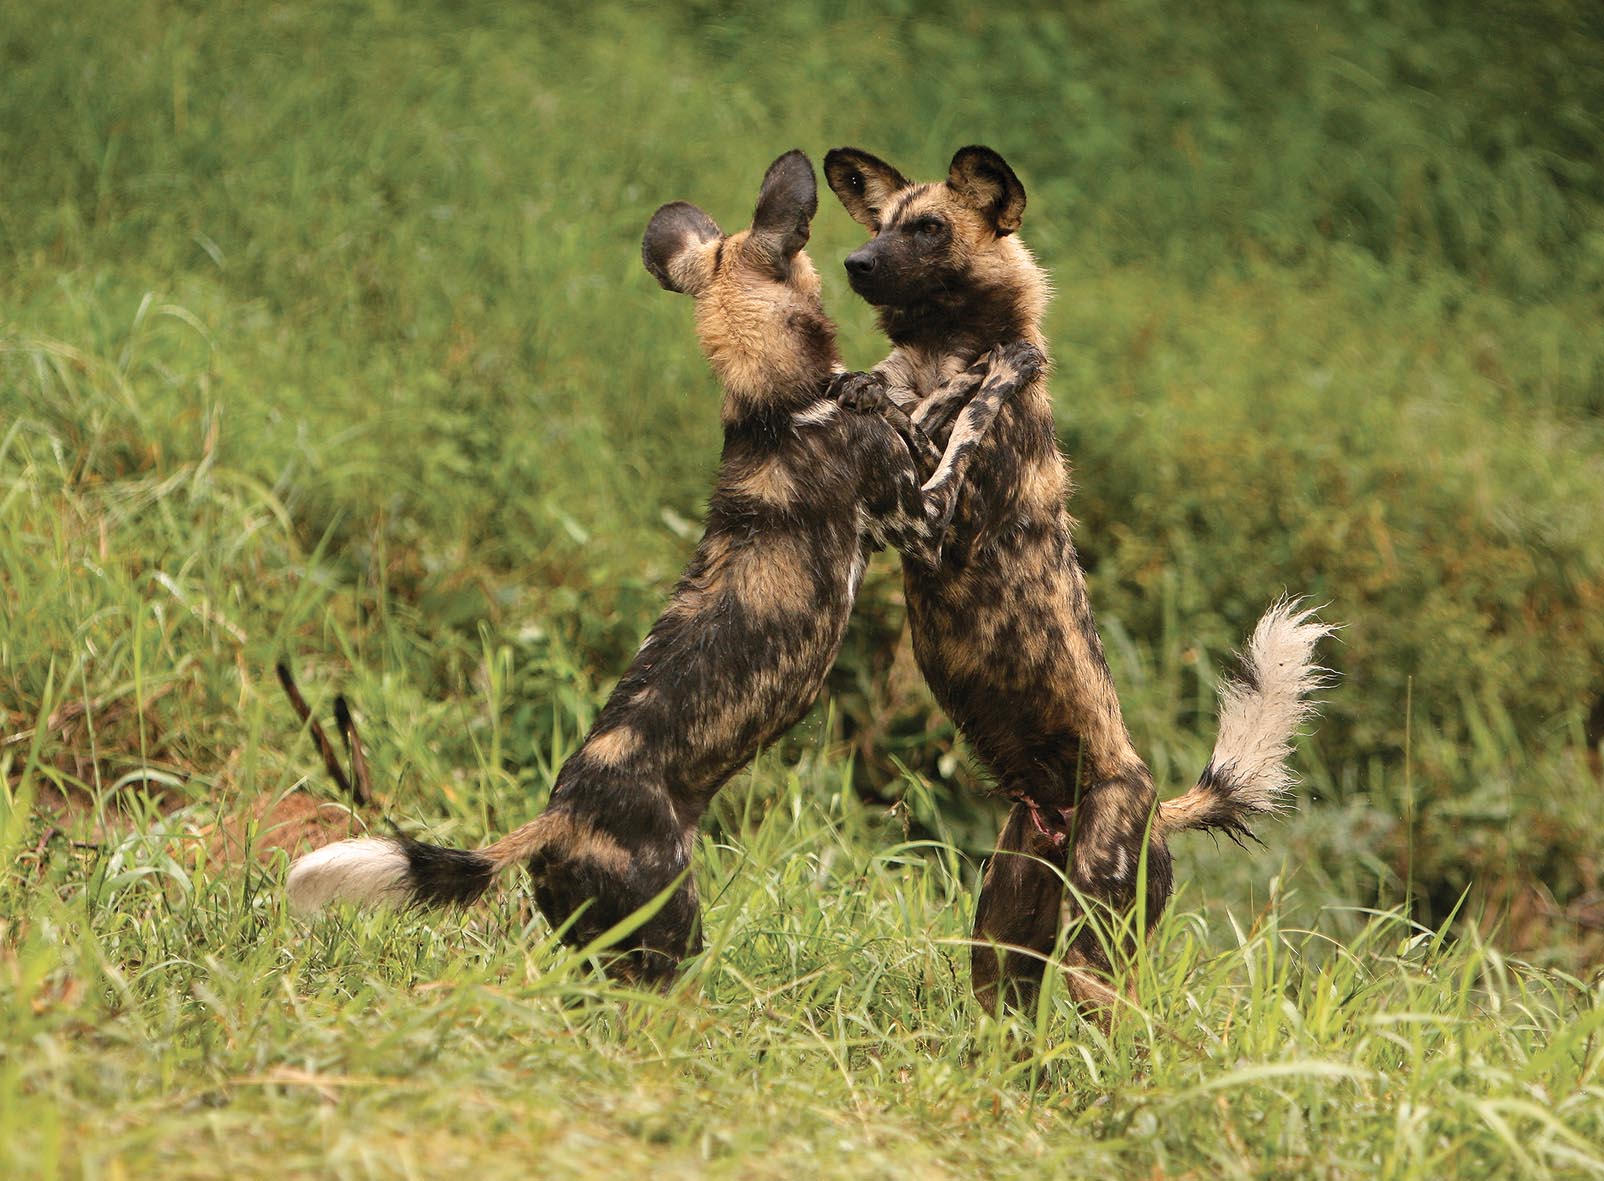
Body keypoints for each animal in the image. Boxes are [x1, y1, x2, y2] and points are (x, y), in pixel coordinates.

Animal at [285, 157, 1039, 988]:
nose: (856, 264)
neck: (775, 405)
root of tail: (558, 820)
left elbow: (926, 408)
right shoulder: (920, 519)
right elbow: (961, 417)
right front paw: (1001, 362)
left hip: (589, 947)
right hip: (670, 942)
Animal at [821, 145, 1334, 1014]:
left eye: (929, 230)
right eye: (882, 223)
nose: (855, 262)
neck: (940, 346)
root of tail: (1155, 807)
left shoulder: (924, 513)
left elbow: (961, 404)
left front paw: (986, 373)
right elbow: (901, 400)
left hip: (1097, 957)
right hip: (1000, 945)